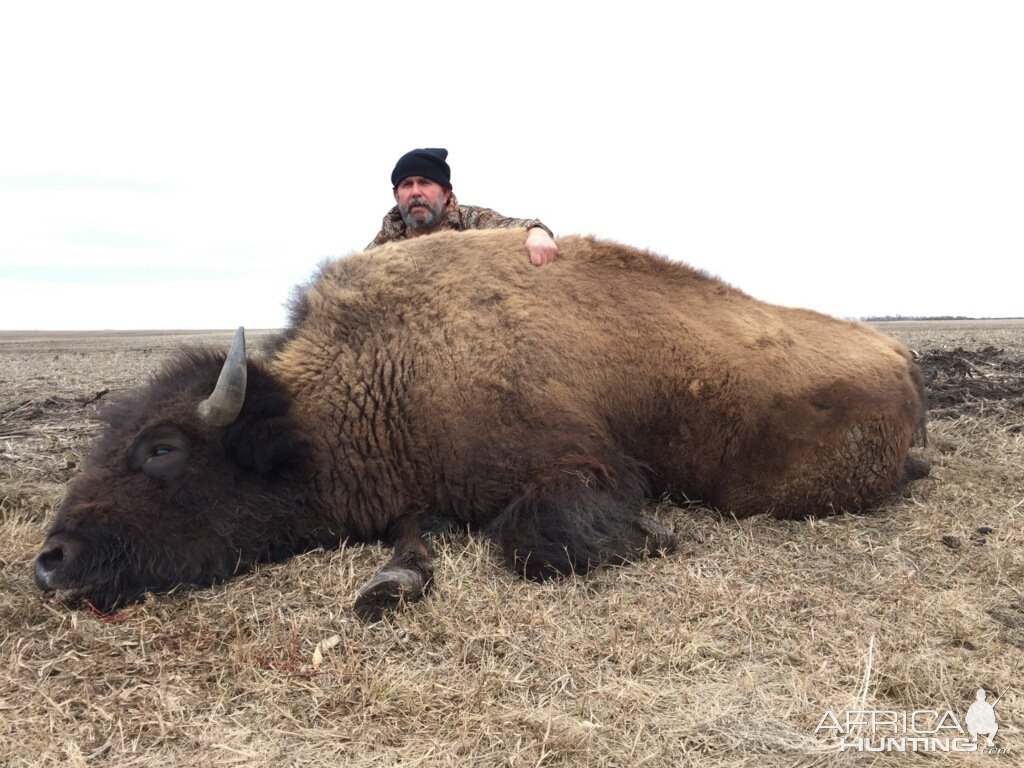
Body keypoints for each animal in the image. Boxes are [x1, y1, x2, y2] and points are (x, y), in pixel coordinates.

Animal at [32, 228, 929, 618]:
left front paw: (662, 538)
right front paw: (393, 581)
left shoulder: (580, 464)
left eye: (162, 449)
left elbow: (535, 537)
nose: (51, 562)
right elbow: (412, 533)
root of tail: (897, 352)